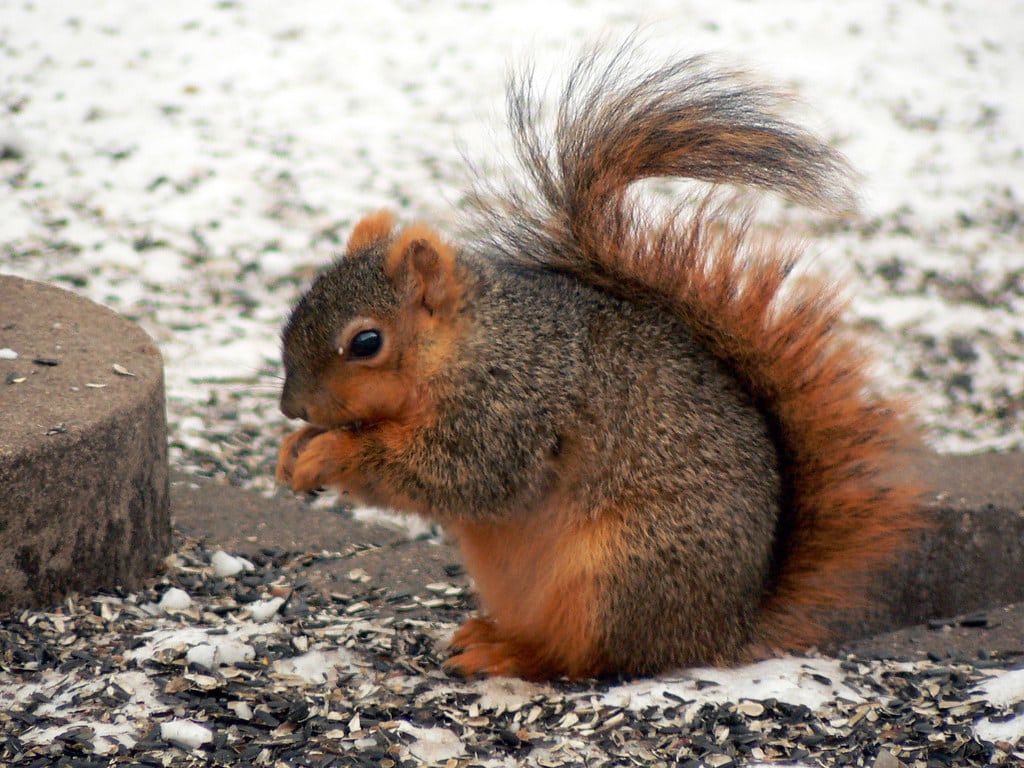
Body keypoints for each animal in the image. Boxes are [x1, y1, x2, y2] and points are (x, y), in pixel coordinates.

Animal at [275, 47, 923, 681]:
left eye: (366, 342)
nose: (290, 407)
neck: (471, 345)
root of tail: (723, 629)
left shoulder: (514, 406)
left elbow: (455, 474)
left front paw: (330, 453)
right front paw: (293, 451)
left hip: (619, 575)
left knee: (586, 660)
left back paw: (511, 656)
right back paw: (492, 636)